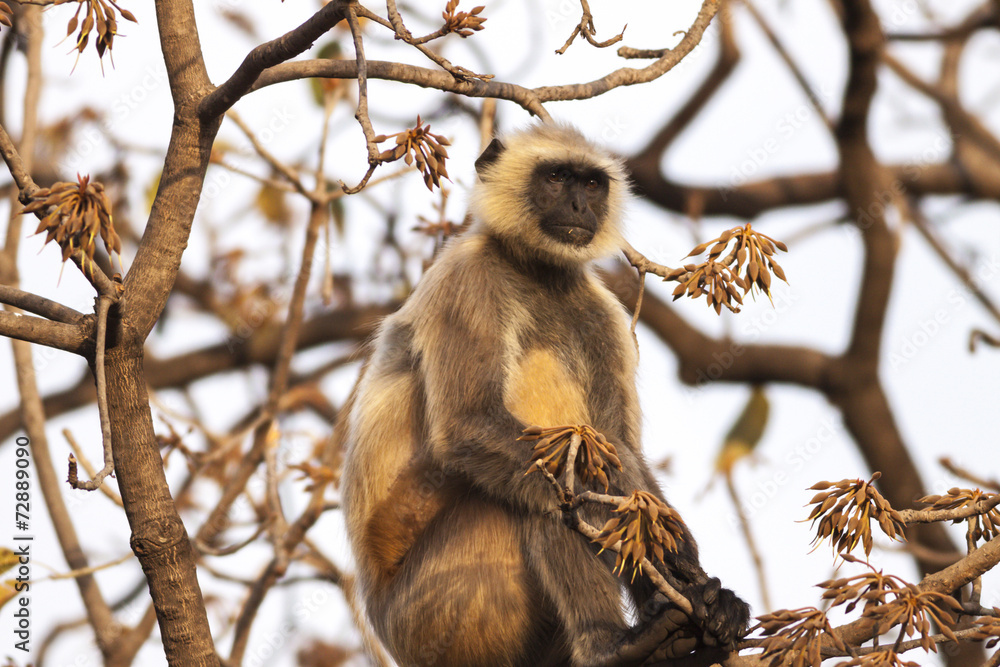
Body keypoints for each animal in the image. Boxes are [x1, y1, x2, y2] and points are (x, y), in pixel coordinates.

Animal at [340, 123, 750, 667]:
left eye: (591, 184)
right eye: (556, 178)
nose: (578, 207)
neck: (538, 273)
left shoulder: (600, 311)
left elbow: (621, 448)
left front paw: (700, 586)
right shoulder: (469, 279)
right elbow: (472, 423)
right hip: (431, 608)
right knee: (546, 494)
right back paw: (612, 644)